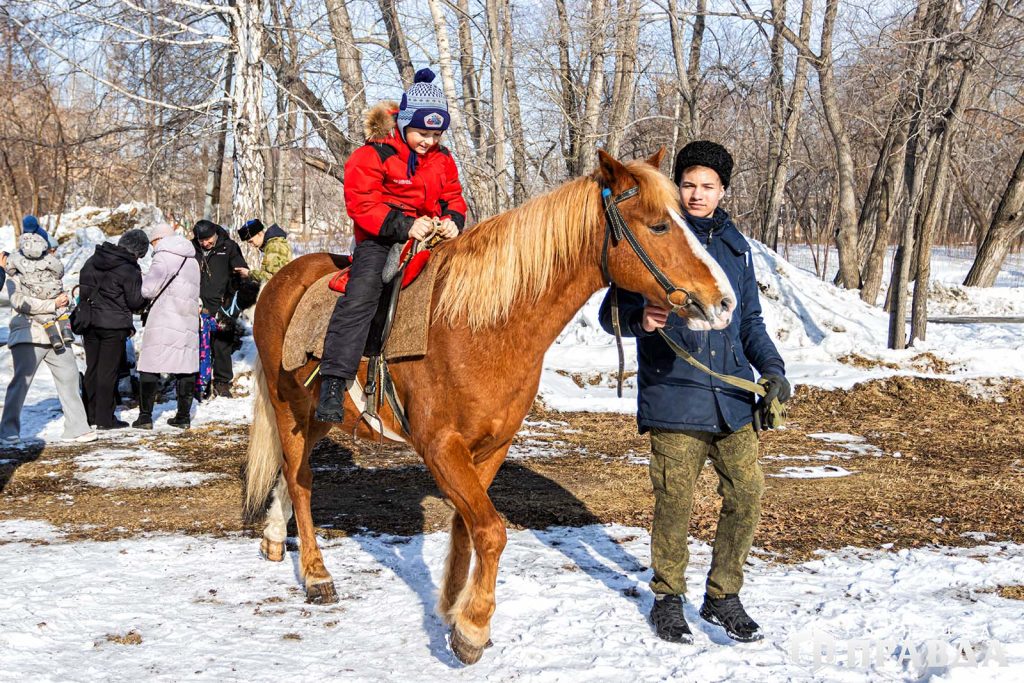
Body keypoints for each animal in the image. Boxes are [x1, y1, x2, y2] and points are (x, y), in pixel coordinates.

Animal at [242, 149, 733, 663]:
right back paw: (317, 575)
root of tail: (279, 281)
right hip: (288, 407)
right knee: (301, 481)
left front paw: (452, 609)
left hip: (319, 415)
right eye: (659, 225)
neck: (481, 326)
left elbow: (468, 526)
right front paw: (474, 628)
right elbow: (493, 530)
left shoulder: (492, 445)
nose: (723, 303)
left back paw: (274, 538)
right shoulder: (441, 446)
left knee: (287, 470)